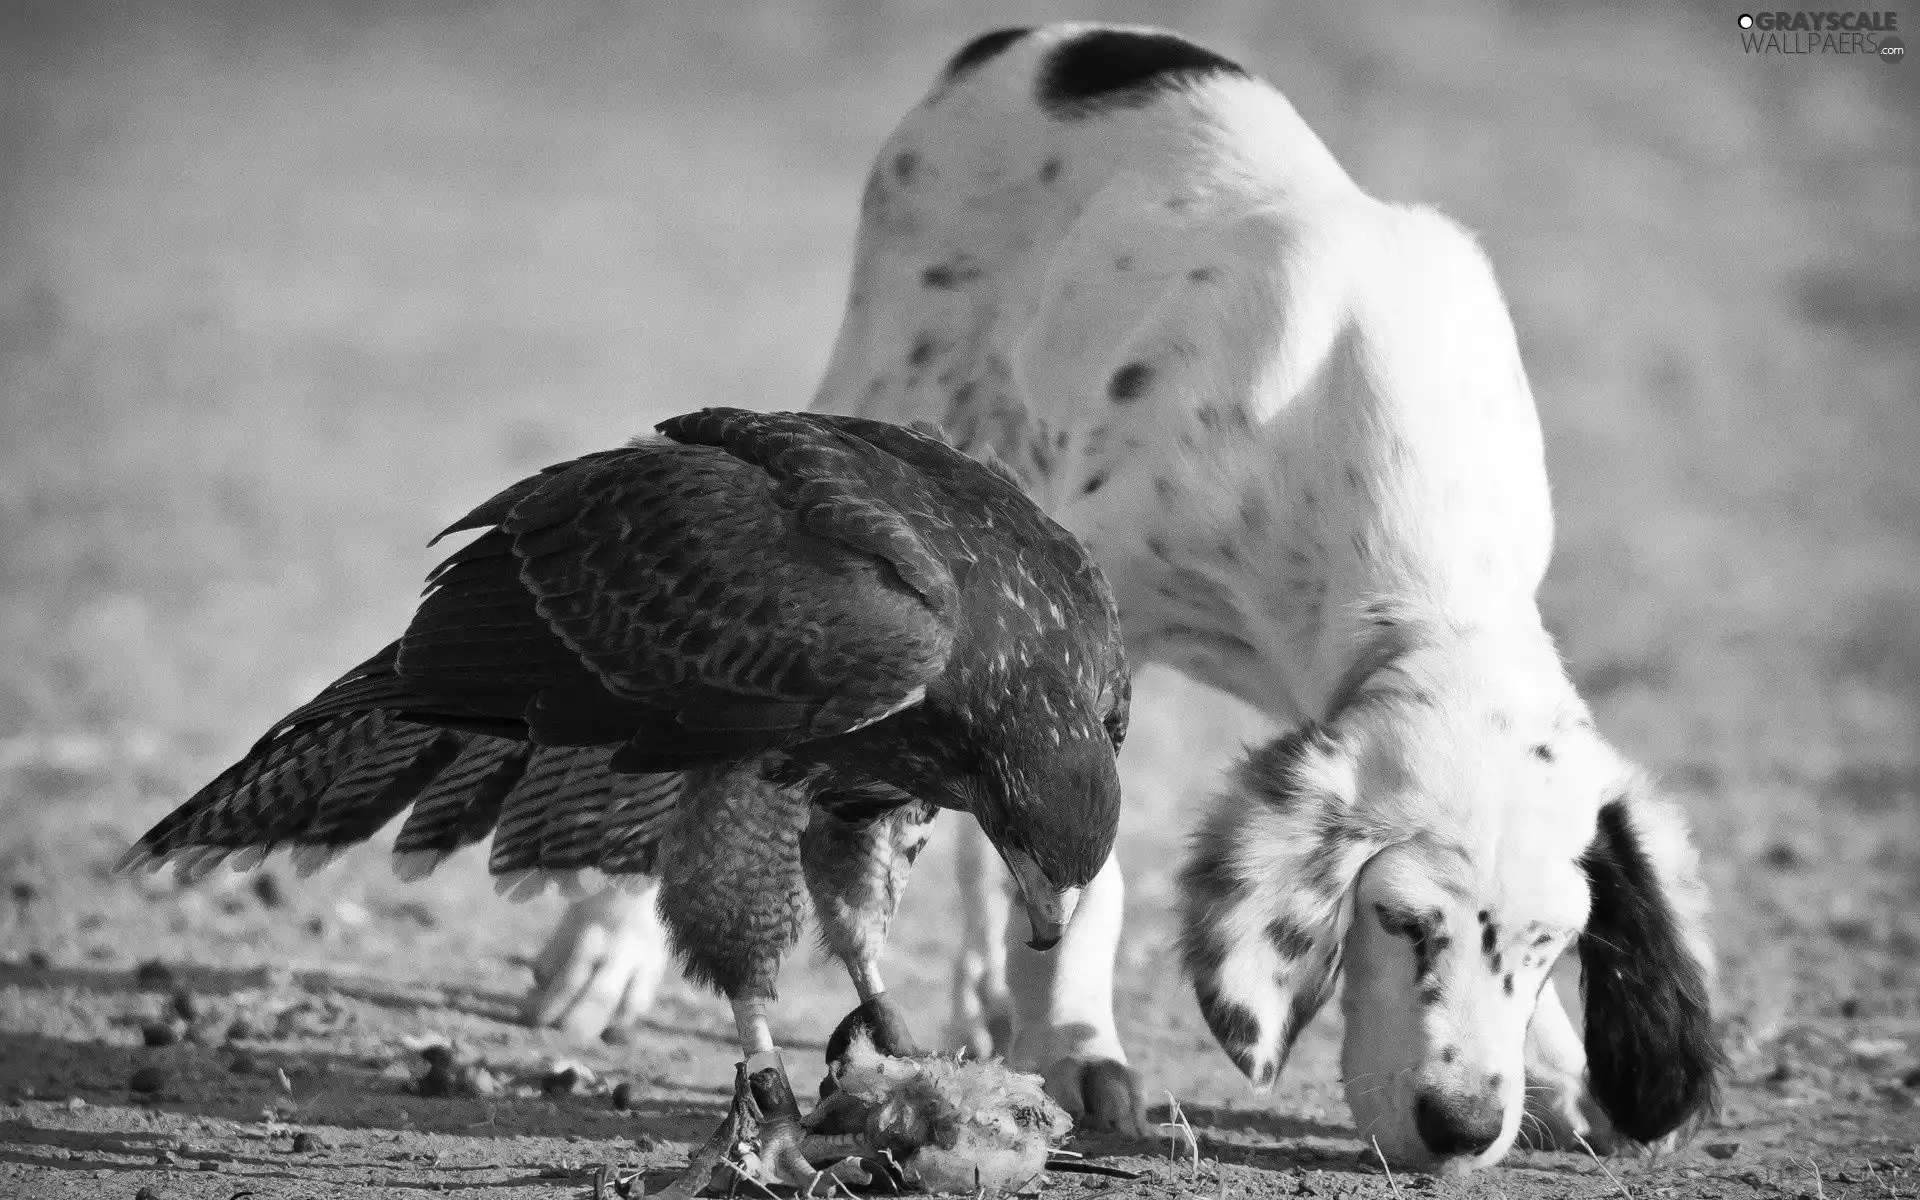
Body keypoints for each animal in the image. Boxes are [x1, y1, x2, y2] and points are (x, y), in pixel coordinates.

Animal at [529, 21, 1728, 1167]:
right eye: (1398, 922)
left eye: (1553, 946)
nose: (1462, 1128)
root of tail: (1037, 38)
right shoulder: (1089, 624)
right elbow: (1083, 867)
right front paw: (1071, 1047)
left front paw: (1564, 1075)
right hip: (896, 406)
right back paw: (607, 948)